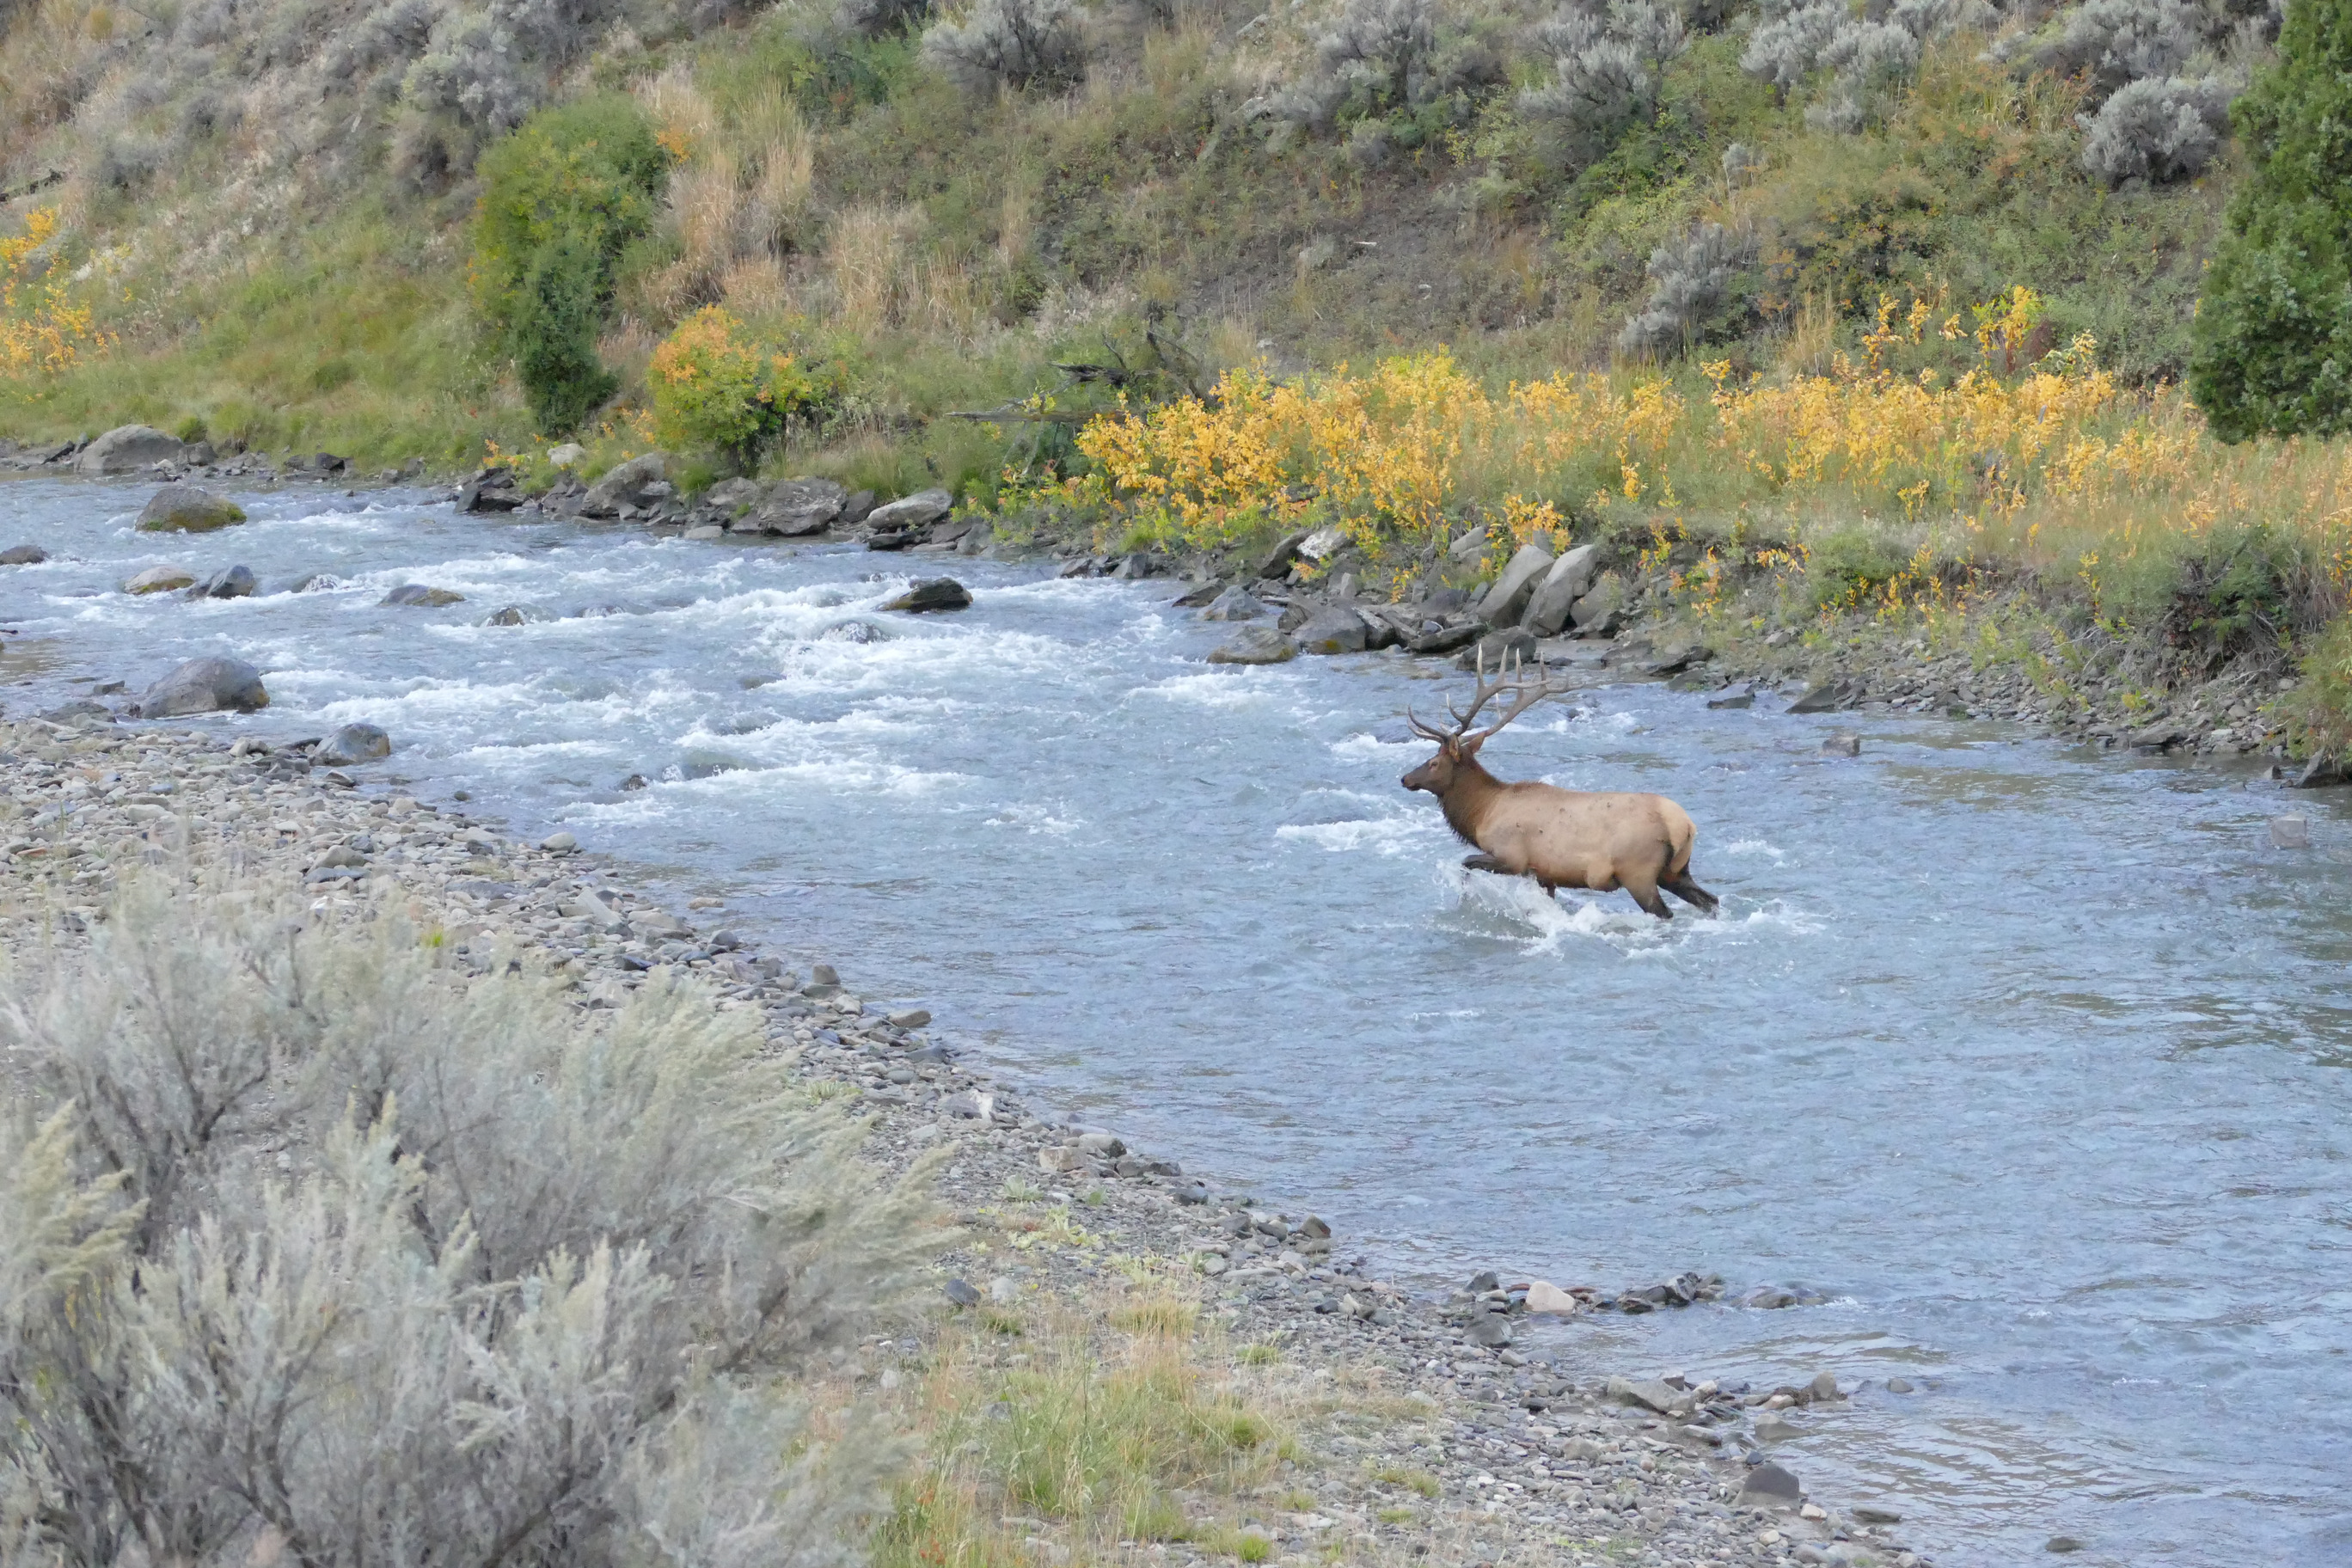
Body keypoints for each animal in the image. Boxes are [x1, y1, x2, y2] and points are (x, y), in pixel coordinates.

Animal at [1400, 652, 1719, 920]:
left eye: (1434, 762)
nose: (1405, 778)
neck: (1482, 813)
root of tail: (1684, 825)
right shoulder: (1545, 873)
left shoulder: (1512, 857)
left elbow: (1465, 863)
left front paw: (1466, 898)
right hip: (1675, 871)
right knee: (1710, 900)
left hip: (1638, 871)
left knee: (1664, 912)